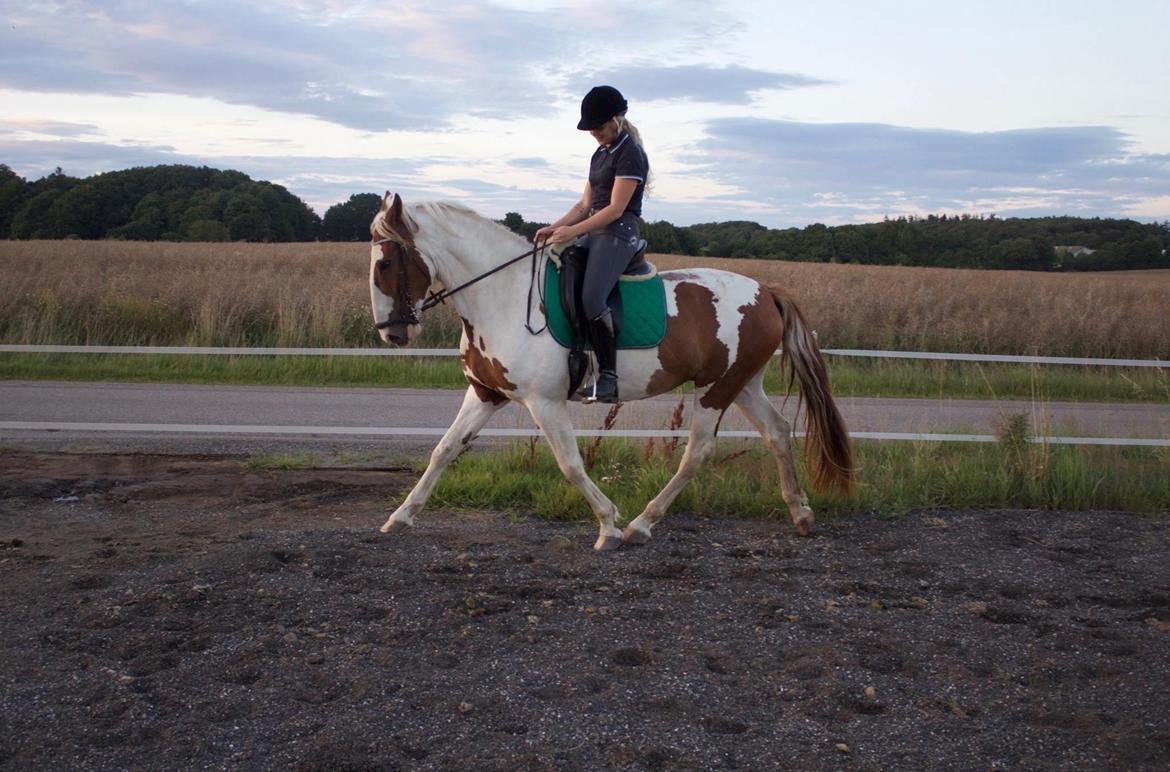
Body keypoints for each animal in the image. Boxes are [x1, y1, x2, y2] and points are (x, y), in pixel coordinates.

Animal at [369, 196, 856, 552]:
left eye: (386, 264)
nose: (392, 333)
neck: (503, 296)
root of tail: (766, 291)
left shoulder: (544, 402)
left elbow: (570, 464)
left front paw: (608, 523)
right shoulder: (486, 393)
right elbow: (444, 450)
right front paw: (400, 516)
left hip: (715, 389)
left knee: (697, 452)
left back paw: (641, 524)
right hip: (742, 384)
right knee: (778, 432)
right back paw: (801, 514)